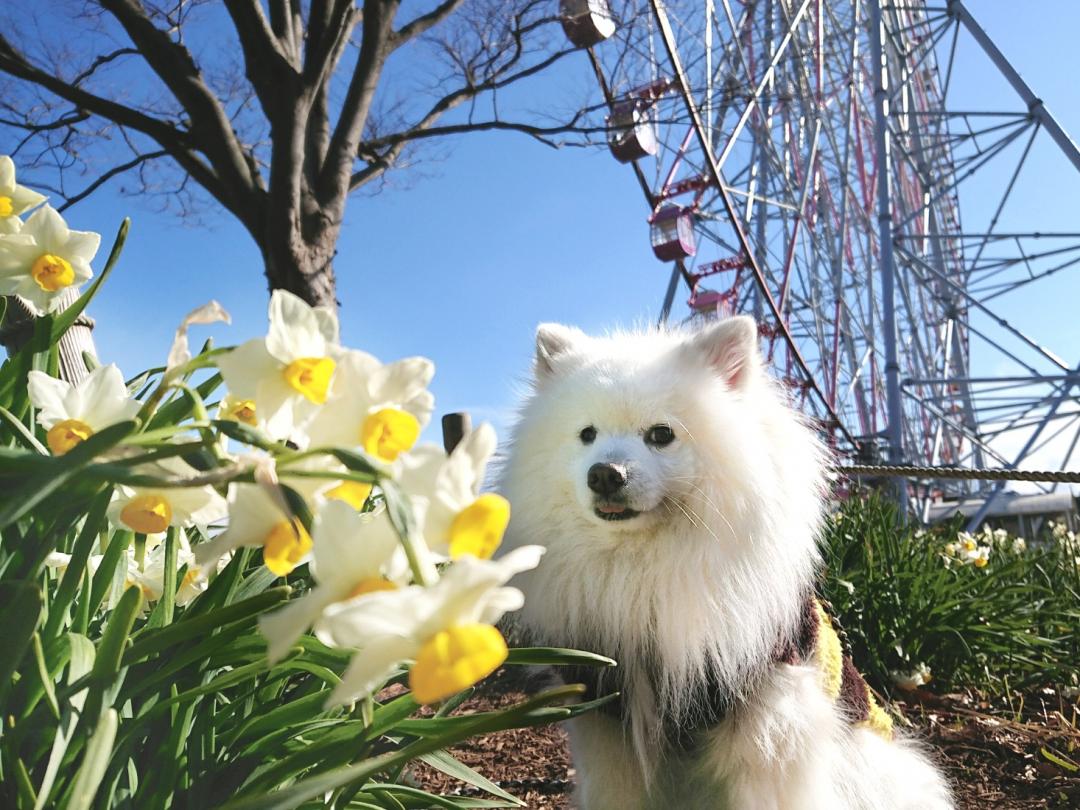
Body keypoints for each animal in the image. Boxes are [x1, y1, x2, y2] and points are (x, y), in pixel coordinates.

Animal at [498, 319, 954, 810]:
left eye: (661, 434)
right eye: (587, 434)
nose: (604, 473)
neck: (643, 567)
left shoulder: (768, 714)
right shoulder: (608, 714)